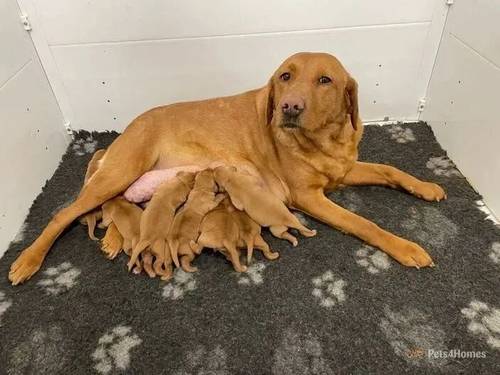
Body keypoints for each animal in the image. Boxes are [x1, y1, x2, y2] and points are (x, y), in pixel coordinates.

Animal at [7, 52, 446, 284]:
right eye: (285, 76)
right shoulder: (308, 197)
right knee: (63, 214)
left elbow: (390, 169)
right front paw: (405, 247)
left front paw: (425, 185)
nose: (289, 107)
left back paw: (115, 240)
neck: (326, 139)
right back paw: (28, 260)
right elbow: (365, 224)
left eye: (325, 80)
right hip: (122, 169)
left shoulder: (344, 169)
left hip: (125, 179)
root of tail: (127, 127)